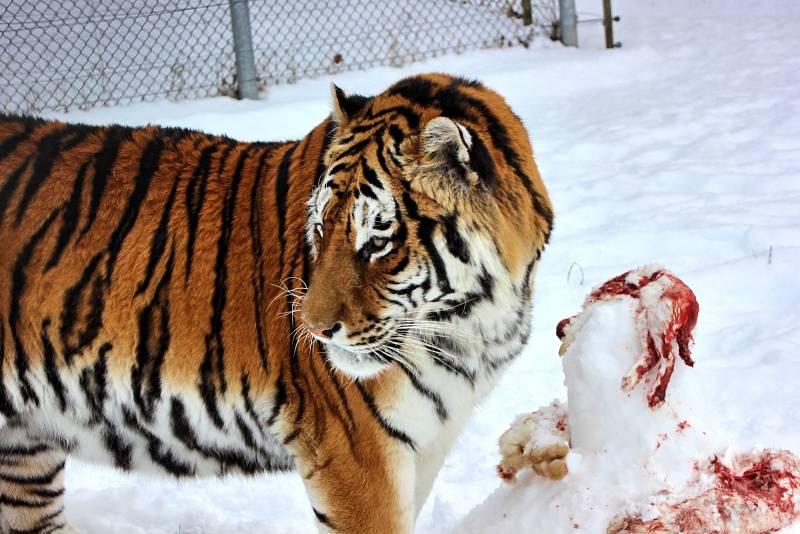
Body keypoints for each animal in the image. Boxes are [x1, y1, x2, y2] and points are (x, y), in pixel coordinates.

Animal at [0, 72, 552, 534]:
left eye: (378, 241)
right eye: (322, 227)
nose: (313, 329)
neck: (471, 326)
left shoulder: (428, 445)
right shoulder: (358, 459)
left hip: (22, 450)